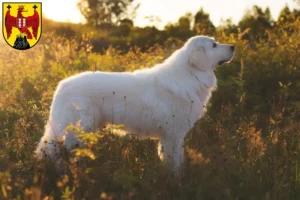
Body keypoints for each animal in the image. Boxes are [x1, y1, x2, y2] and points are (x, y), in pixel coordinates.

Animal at [35, 35, 234, 171]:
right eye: (214, 45)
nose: (233, 46)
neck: (190, 74)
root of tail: (62, 84)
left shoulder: (170, 136)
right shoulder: (174, 134)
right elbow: (174, 162)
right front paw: (176, 182)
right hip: (76, 128)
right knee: (56, 151)